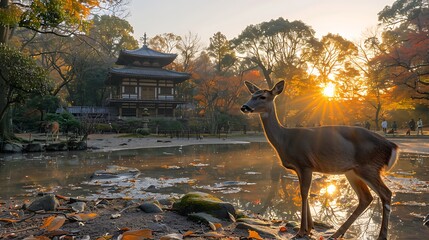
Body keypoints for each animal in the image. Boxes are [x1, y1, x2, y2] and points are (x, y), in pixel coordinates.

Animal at [241, 80, 398, 240]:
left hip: (369, 166)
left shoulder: (304, 163)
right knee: (366, 198)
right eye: (252, 95)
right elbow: (305, 192)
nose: (244, 107)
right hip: (352, 171)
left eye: (263, 97)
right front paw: (309, 228)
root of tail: (391, 146)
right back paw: (336, 234)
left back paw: (381, 236)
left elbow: (304, 193)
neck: (285, 140)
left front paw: (301, 231)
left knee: (386, 193)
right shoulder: (300, 168)